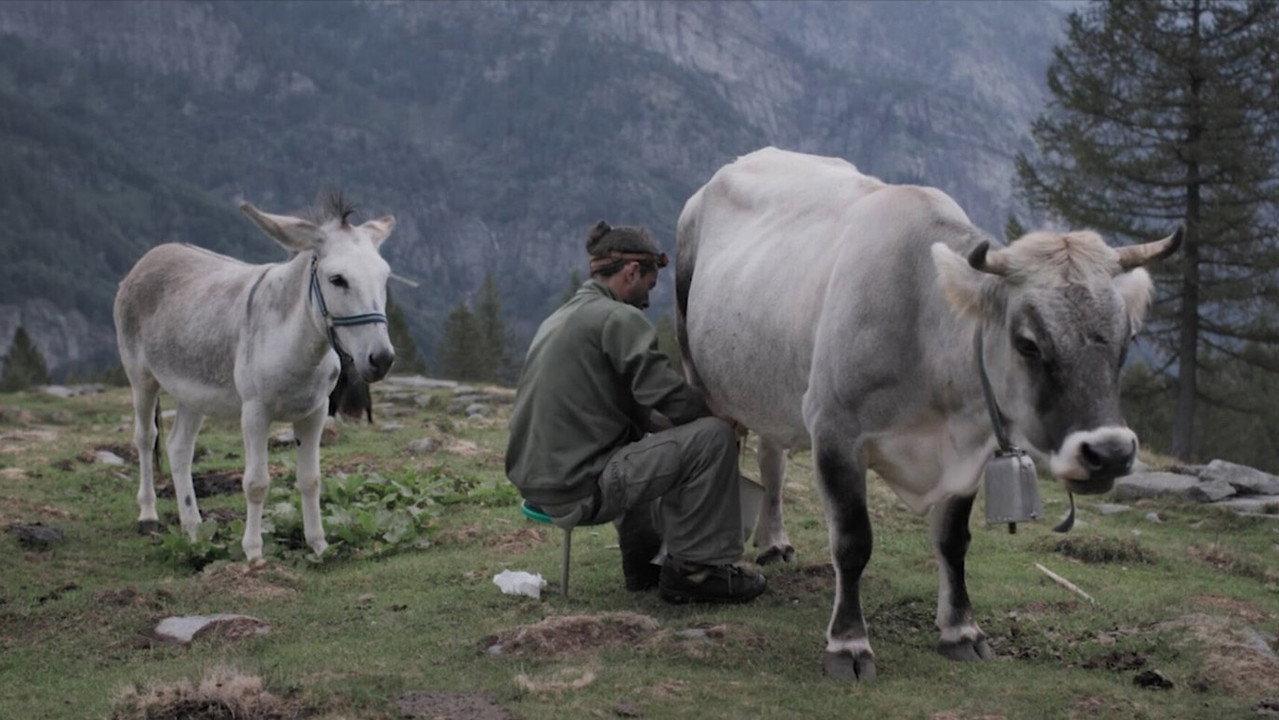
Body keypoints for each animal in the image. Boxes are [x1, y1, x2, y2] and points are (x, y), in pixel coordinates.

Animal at [675, 147, 1180, 680]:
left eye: (1128, 339)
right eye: (1027, 343)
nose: (1109, 453)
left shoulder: (970, 449)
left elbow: (953, 541)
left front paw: (961, 630)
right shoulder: (835, 430)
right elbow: (852, 541)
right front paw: (848, 644)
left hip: (775, 388)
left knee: (771, 457)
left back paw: (773, 542)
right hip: (700, 375)